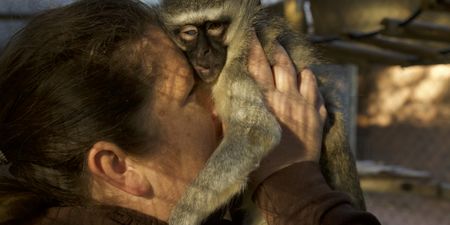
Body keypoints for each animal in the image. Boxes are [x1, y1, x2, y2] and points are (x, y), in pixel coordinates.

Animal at [158, 0, 366, 225]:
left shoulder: (238, 67)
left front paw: (181, 217)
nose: (203, 52)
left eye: (214, 26)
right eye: (189, 32)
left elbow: (256, 132)